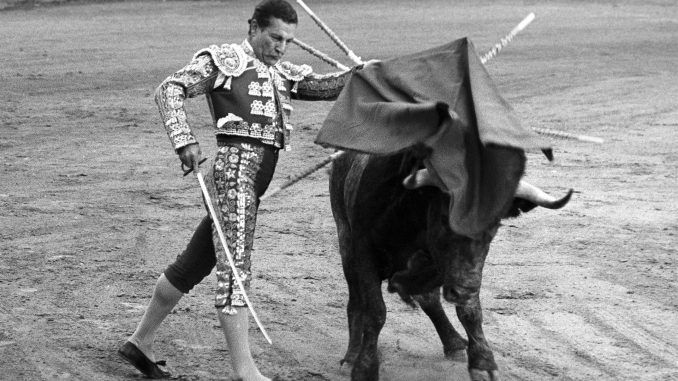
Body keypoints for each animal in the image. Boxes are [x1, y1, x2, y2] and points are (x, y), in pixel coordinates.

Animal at [330, 148, 572, 380]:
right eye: (446, 219)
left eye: (494, 226)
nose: (464, 290)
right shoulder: (363, 252)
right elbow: (375, 311)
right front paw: (364, 368)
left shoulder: (460, 269)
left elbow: (468, 310)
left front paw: (483, 362)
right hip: (345, 241)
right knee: (356, 300)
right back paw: (351, 356)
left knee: (431, 300)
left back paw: (453, 343)